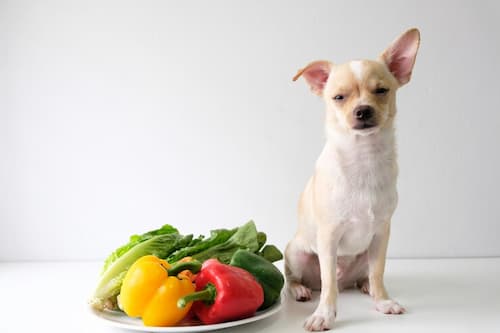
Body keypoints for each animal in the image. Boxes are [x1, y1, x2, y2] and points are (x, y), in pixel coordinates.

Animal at [286, 28, 418, 330]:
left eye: (382, 91)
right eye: (339, 97)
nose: (363, 110)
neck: (363, 158)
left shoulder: (381, 234)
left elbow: (378, 272)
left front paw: (383, 301)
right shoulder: (328, 237)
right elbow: (328, 286)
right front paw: (324, 314)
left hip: (364, 255)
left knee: (363, 275)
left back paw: (365, 286)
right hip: (297, 252)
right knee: (304, 279)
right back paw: (301, 290)